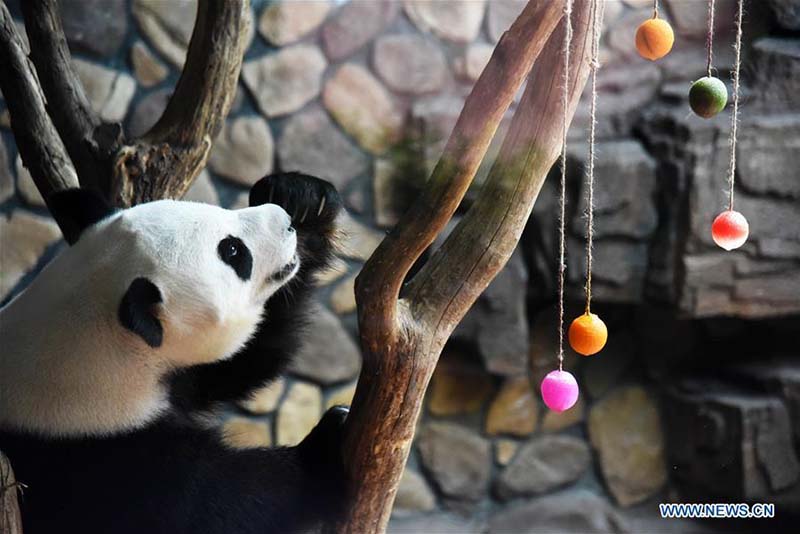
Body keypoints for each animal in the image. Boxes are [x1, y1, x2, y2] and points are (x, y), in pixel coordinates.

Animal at [0, 173, 351, 533]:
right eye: (233, 250)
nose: (285, 222)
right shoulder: (100, 456)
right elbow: (217, 505)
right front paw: (324, 451)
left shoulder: (176, 379)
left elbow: (241, 361)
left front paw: (301, 199)